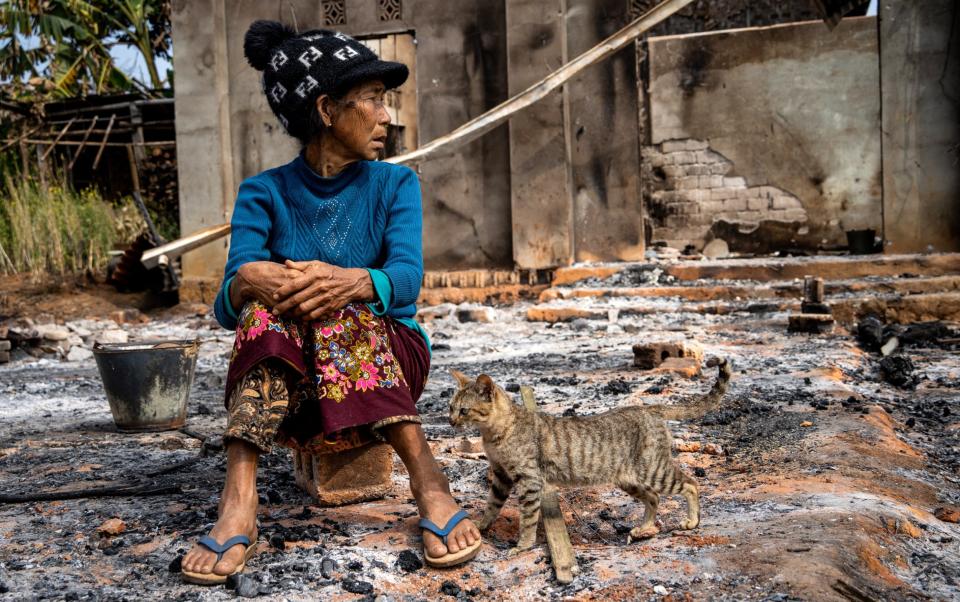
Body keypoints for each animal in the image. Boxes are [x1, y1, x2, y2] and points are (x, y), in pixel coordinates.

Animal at [448, 356, 728, 552]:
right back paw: (642, 529)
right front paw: (481, 526)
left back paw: (691, 521)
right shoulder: (501, 475)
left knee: (690, 484)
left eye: (463, 410)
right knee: (654, 498)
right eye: (450, 407)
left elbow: (527, 518)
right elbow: (491, 505)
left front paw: (522, 546)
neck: (493, 434)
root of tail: (648, 408)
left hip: (654, 470)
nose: (450, 421)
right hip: (630, 479)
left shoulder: (528, 480)